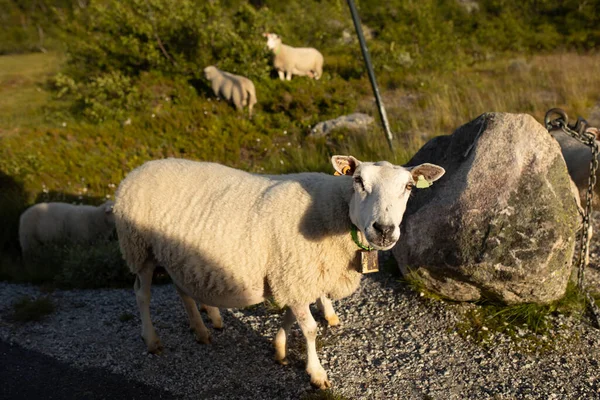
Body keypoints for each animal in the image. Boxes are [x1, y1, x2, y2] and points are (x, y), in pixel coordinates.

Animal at [113, 155, 446, 388]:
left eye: (409, 187)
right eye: (358, 182)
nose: (384, 230)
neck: (333, 211)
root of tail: (138, 169)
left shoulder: (292, 276)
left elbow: (290, 316)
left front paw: (280, 349)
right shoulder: (293, 272)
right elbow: (309, 329)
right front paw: (317, 373)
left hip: (175, 254)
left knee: (183, 290)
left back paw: (204, 327)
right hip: (139, 248)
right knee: (142, 294)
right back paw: (153, 340)